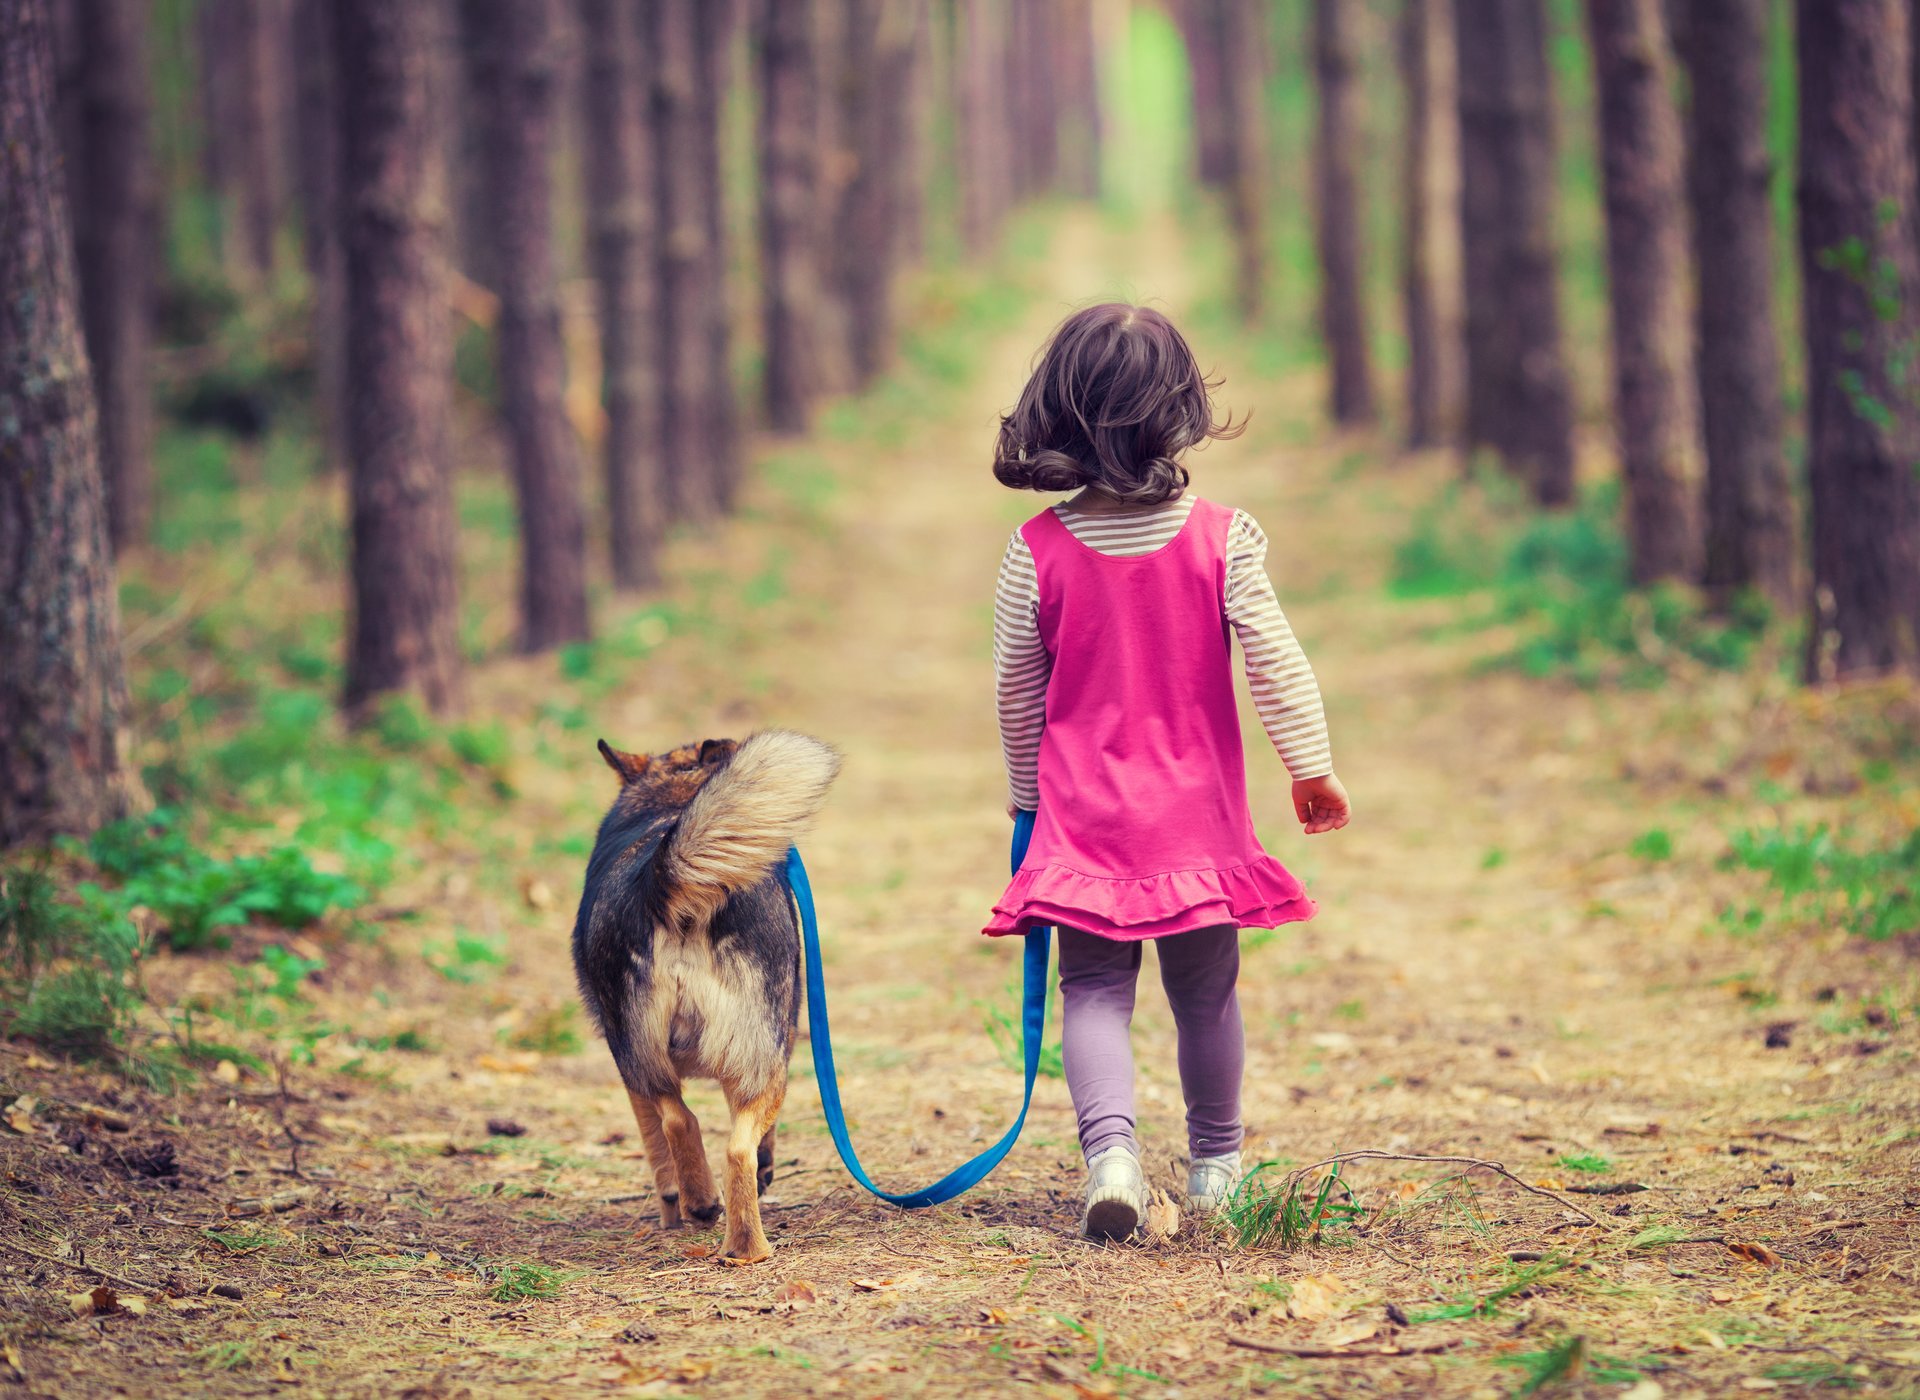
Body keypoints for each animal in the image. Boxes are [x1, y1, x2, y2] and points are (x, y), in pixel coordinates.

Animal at [568, 725, 840, 1259]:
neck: (673, 796)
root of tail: (663, 883)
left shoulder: (630, 1073)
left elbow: (656, 1145)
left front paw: (671, 1208)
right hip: (759, 1060)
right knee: (734, 1147)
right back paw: (746, 1244)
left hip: (644, 1056)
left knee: (680, 1121)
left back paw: (704, 1207)